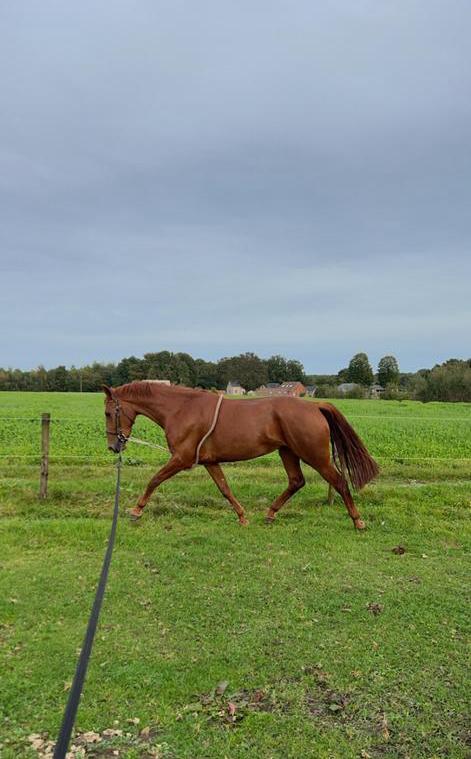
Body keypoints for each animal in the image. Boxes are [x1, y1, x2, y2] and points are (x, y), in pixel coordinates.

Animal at [103, 381, 378, 529]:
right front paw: (242, 516)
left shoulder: (181, 459)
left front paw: (136, 511)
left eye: (107, 412)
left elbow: (154, 480)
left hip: (315, 456)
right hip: (288, 452)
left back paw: (357, 521)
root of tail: (315, 406)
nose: (114, 447)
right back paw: (270, 513)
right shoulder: (210, 461)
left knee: (339, 481)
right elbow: (225, 489)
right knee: (296, 481)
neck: (181, 409)